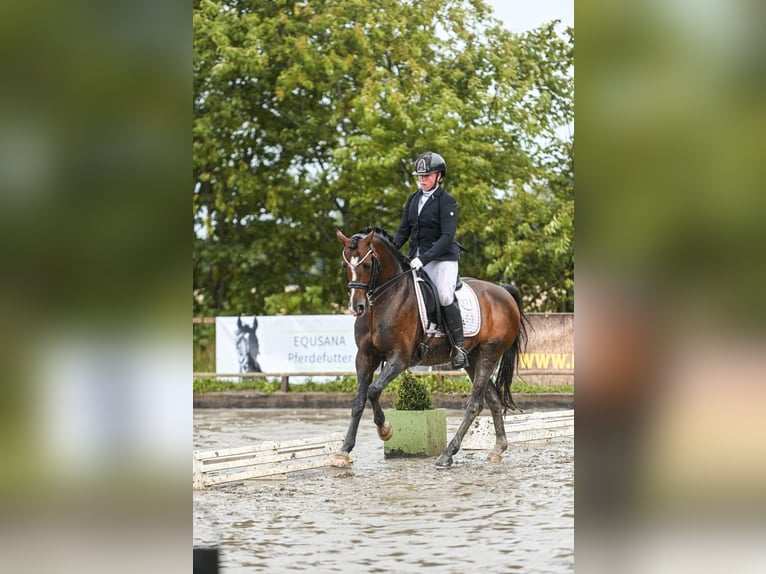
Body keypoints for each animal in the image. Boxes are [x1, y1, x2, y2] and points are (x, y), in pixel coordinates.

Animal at [336, 227, 528, 470]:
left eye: (367, 265)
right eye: (345, 266)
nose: (357, 307)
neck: (384, 300)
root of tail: (503, 293)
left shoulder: (399, 358)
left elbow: (373, 391)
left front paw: (385, 430)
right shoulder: (364, 358)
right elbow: (359, 401)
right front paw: (343, 451)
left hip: (489, 353)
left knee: (475, 404)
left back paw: (447, 454)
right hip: (473, 358)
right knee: (493, 399)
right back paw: (497, 449)